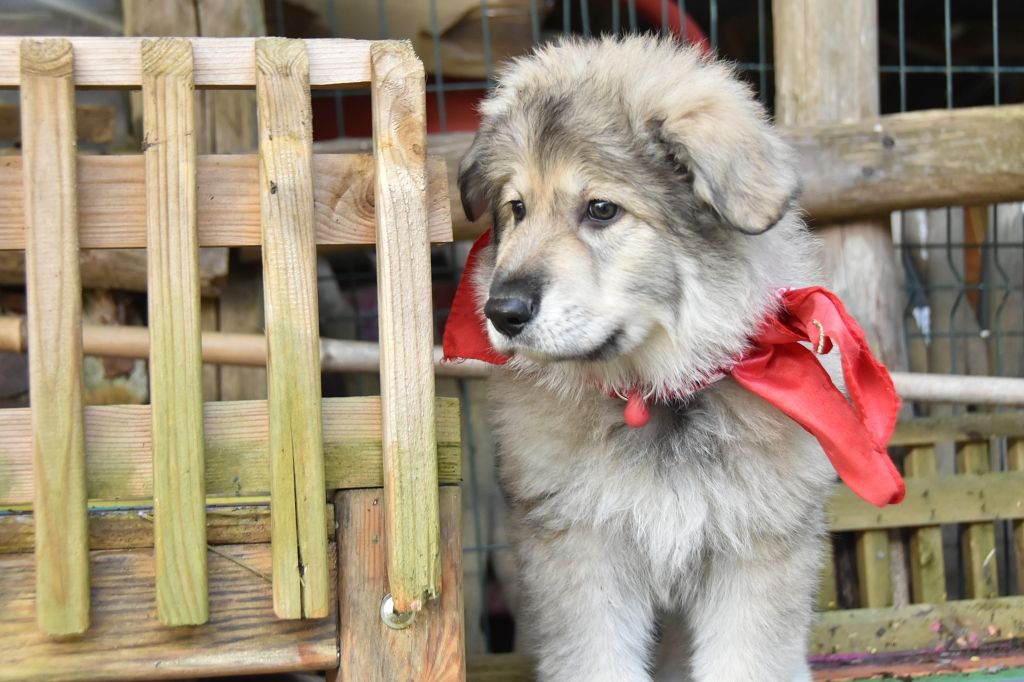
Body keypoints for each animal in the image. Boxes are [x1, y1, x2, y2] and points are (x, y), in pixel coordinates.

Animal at [448, 35, 874, 682]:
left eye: (601, 209)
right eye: (517, 208)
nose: (502, 311)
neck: (657, 398)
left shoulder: (754, 556)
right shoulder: (580, 557)